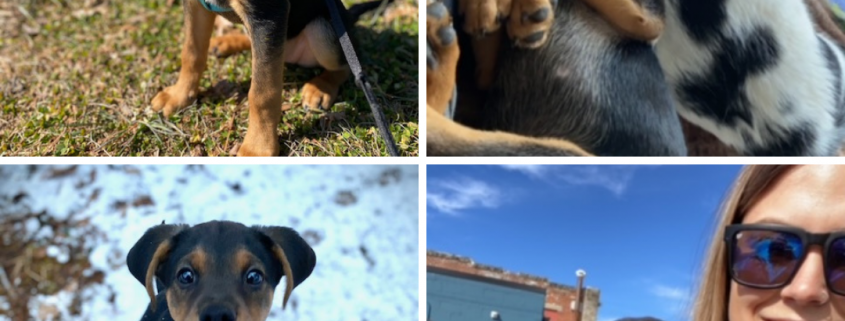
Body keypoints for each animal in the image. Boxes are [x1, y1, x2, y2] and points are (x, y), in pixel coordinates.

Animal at [151, 0, 386, 156]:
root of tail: (349, 18)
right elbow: (192, 51)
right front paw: (179, 96)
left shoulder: (268, 16)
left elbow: (262, 94)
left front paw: (257, 148)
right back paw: (227, 42)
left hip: (323, 29)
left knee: (346, 64)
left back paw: (321, 87)